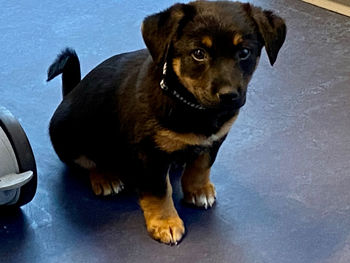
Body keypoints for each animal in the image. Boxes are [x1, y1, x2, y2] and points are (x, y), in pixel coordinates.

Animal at [46, 1, 286, 245]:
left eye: (244, 52)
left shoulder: (215, 140)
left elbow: (201, 166)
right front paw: (166, 223)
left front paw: (198, 191)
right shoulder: (150, 154)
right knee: (84, 161)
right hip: (66, 133)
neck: (193, 106)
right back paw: (105, 177)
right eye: (198, 54)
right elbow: (160, 190)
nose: (229, 96)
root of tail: (70, 93)